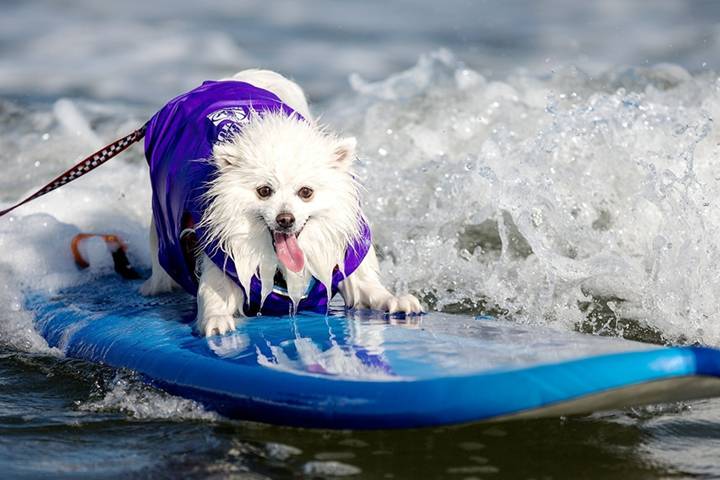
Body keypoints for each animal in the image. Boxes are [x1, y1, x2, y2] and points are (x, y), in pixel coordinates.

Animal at [139, 69, 422, 336]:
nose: (285, 219)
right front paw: (216, 320)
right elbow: (213, 295)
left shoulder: (342, 259)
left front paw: (396, 300)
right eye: (264, 191)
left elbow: (370, 288)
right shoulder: (224, 258)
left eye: (306, 192)